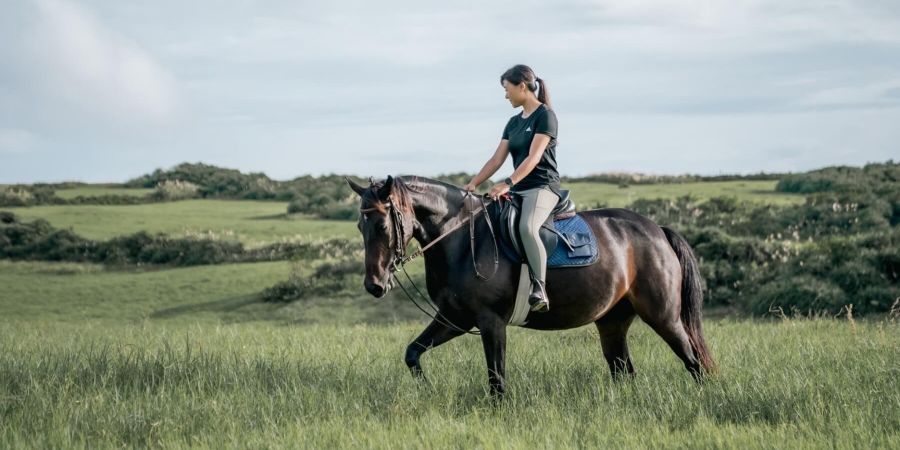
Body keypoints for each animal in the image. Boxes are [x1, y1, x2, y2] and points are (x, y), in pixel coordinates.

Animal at [346, 176, 716, 398]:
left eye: (382, 225)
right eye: (360, 225)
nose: (374, 285)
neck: (461, 238)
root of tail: (657, 230)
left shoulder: (490, 321)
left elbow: (496, 378)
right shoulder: (455, 318)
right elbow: (413, 353)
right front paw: (427, 390)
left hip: (663, 316)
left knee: (693, 360)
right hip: (612, 321)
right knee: (624, 369)